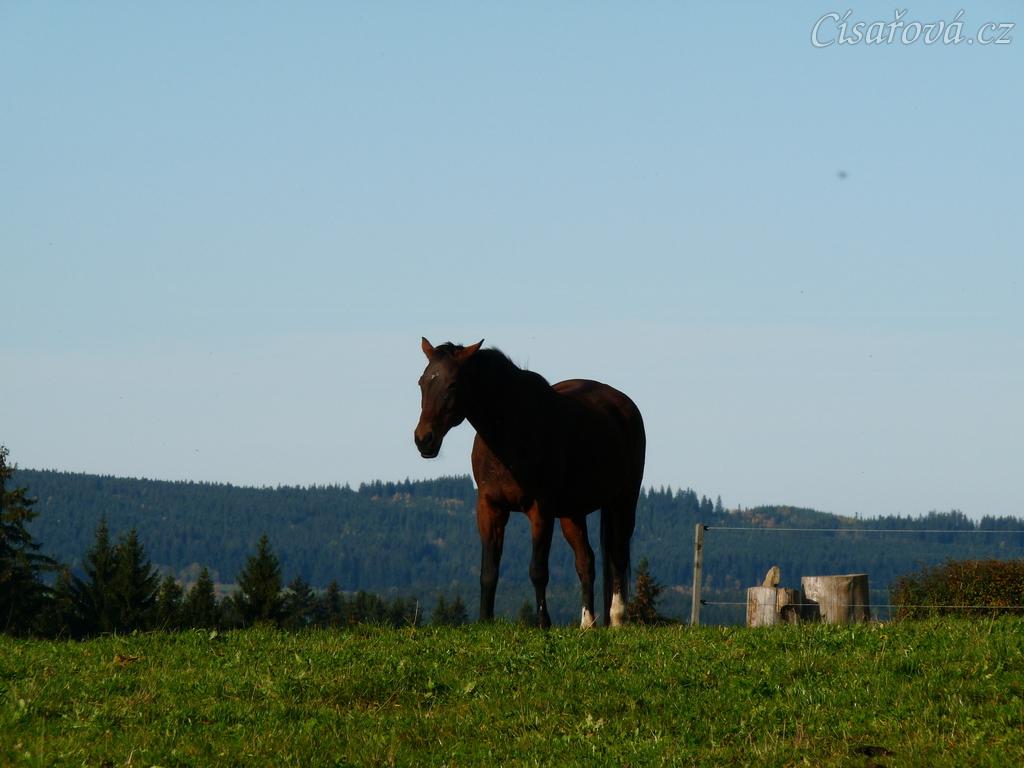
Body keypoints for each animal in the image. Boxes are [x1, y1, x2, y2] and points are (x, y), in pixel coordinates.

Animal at [414, 338, 646, 627]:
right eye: (422, 382)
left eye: (453, 384)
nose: (424, 439)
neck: (511, 431)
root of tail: (623, 404)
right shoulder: (490, 508)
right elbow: (489, 571)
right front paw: (485, 621)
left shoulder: (540, 509)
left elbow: (538, 570)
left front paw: (543, 623)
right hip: (572, 513)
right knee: (586, 561)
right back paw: (587, 624)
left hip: (623, 501)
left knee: (618, 555)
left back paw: (616, 619)